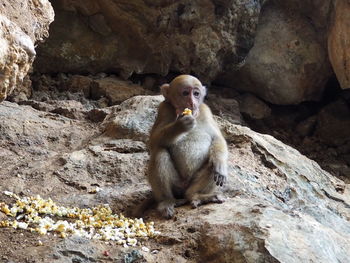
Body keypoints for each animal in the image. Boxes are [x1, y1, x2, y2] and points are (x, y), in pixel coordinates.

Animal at [137, 74, 230, 219]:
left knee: (211, 164)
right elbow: (153, 142)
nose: (192, 103)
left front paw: (220, 164)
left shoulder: (206, 111)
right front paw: (180, 124)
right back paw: (167, 201)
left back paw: (196, 195)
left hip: (191, 183)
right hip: (177, 186)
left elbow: (217, 139)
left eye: (196, 94)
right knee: (159, 153)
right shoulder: (163, 108)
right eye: (185, 93)